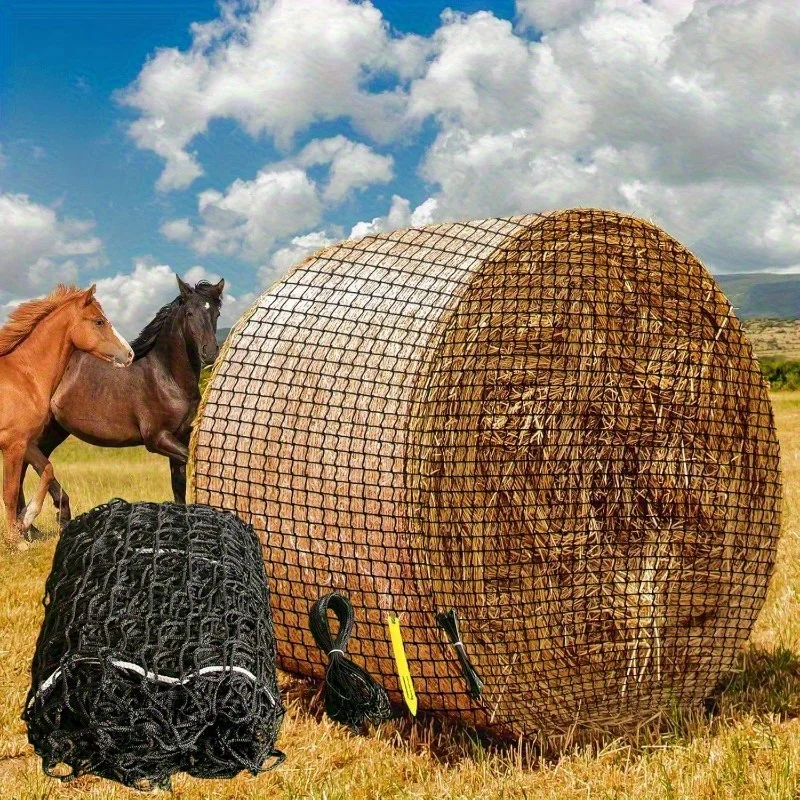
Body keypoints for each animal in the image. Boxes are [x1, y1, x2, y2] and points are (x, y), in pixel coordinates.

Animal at [0, 285, 133, 548]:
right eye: (99, 321)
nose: (129, 354)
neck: (24, 378)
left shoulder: (27, 442)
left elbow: (48, 470)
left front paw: (25, 521)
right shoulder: (13, 444)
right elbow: (9, 492)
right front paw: (17, 540)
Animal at [18, 276, 224, 529]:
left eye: (216, 313)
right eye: (189, 313)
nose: (210, 352)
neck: (167, 377)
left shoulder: (180, 438)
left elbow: (179, 489)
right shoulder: (157, 439)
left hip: (55, 430)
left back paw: (33, 525)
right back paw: (46, 517)